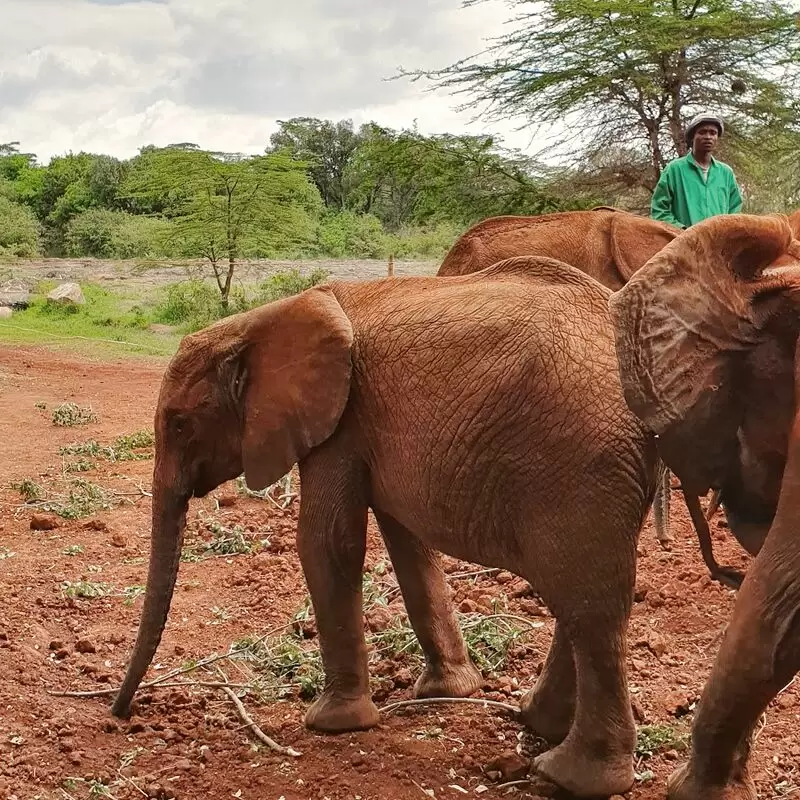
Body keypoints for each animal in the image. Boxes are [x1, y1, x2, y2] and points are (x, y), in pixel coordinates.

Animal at [112, 260, 664, 796]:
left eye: (179, 424)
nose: (120, 713)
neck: (258, 322)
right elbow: (408, 543)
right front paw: (445, 693)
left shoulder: (342, 422)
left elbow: (327, 543)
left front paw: (330, 724)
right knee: (580, 598)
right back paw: (536, 722)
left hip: (580, 466)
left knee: (589, 606)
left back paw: (567, 776)